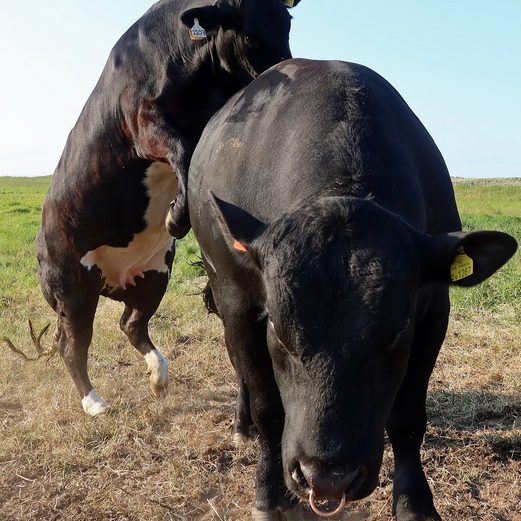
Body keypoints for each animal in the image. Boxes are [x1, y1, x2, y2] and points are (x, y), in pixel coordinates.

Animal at [35, 0, 302, 417]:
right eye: (249, 37)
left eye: (287, 23)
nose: (286, 70)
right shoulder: (144, 125)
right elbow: (183, 152)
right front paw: (177, 217)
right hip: (73, 287)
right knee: (71, 344)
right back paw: (94, 402)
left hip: (153, 276)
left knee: (131, 324)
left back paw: (159, 375)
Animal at [187, 59, 518, 520]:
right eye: (278, 330)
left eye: (398, 330)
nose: (327, 478)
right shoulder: (240, 303)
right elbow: (270, 407)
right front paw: (268, 496)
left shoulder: (434, 310)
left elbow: (408, 416)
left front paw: (414, 502)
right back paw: (242, 423)